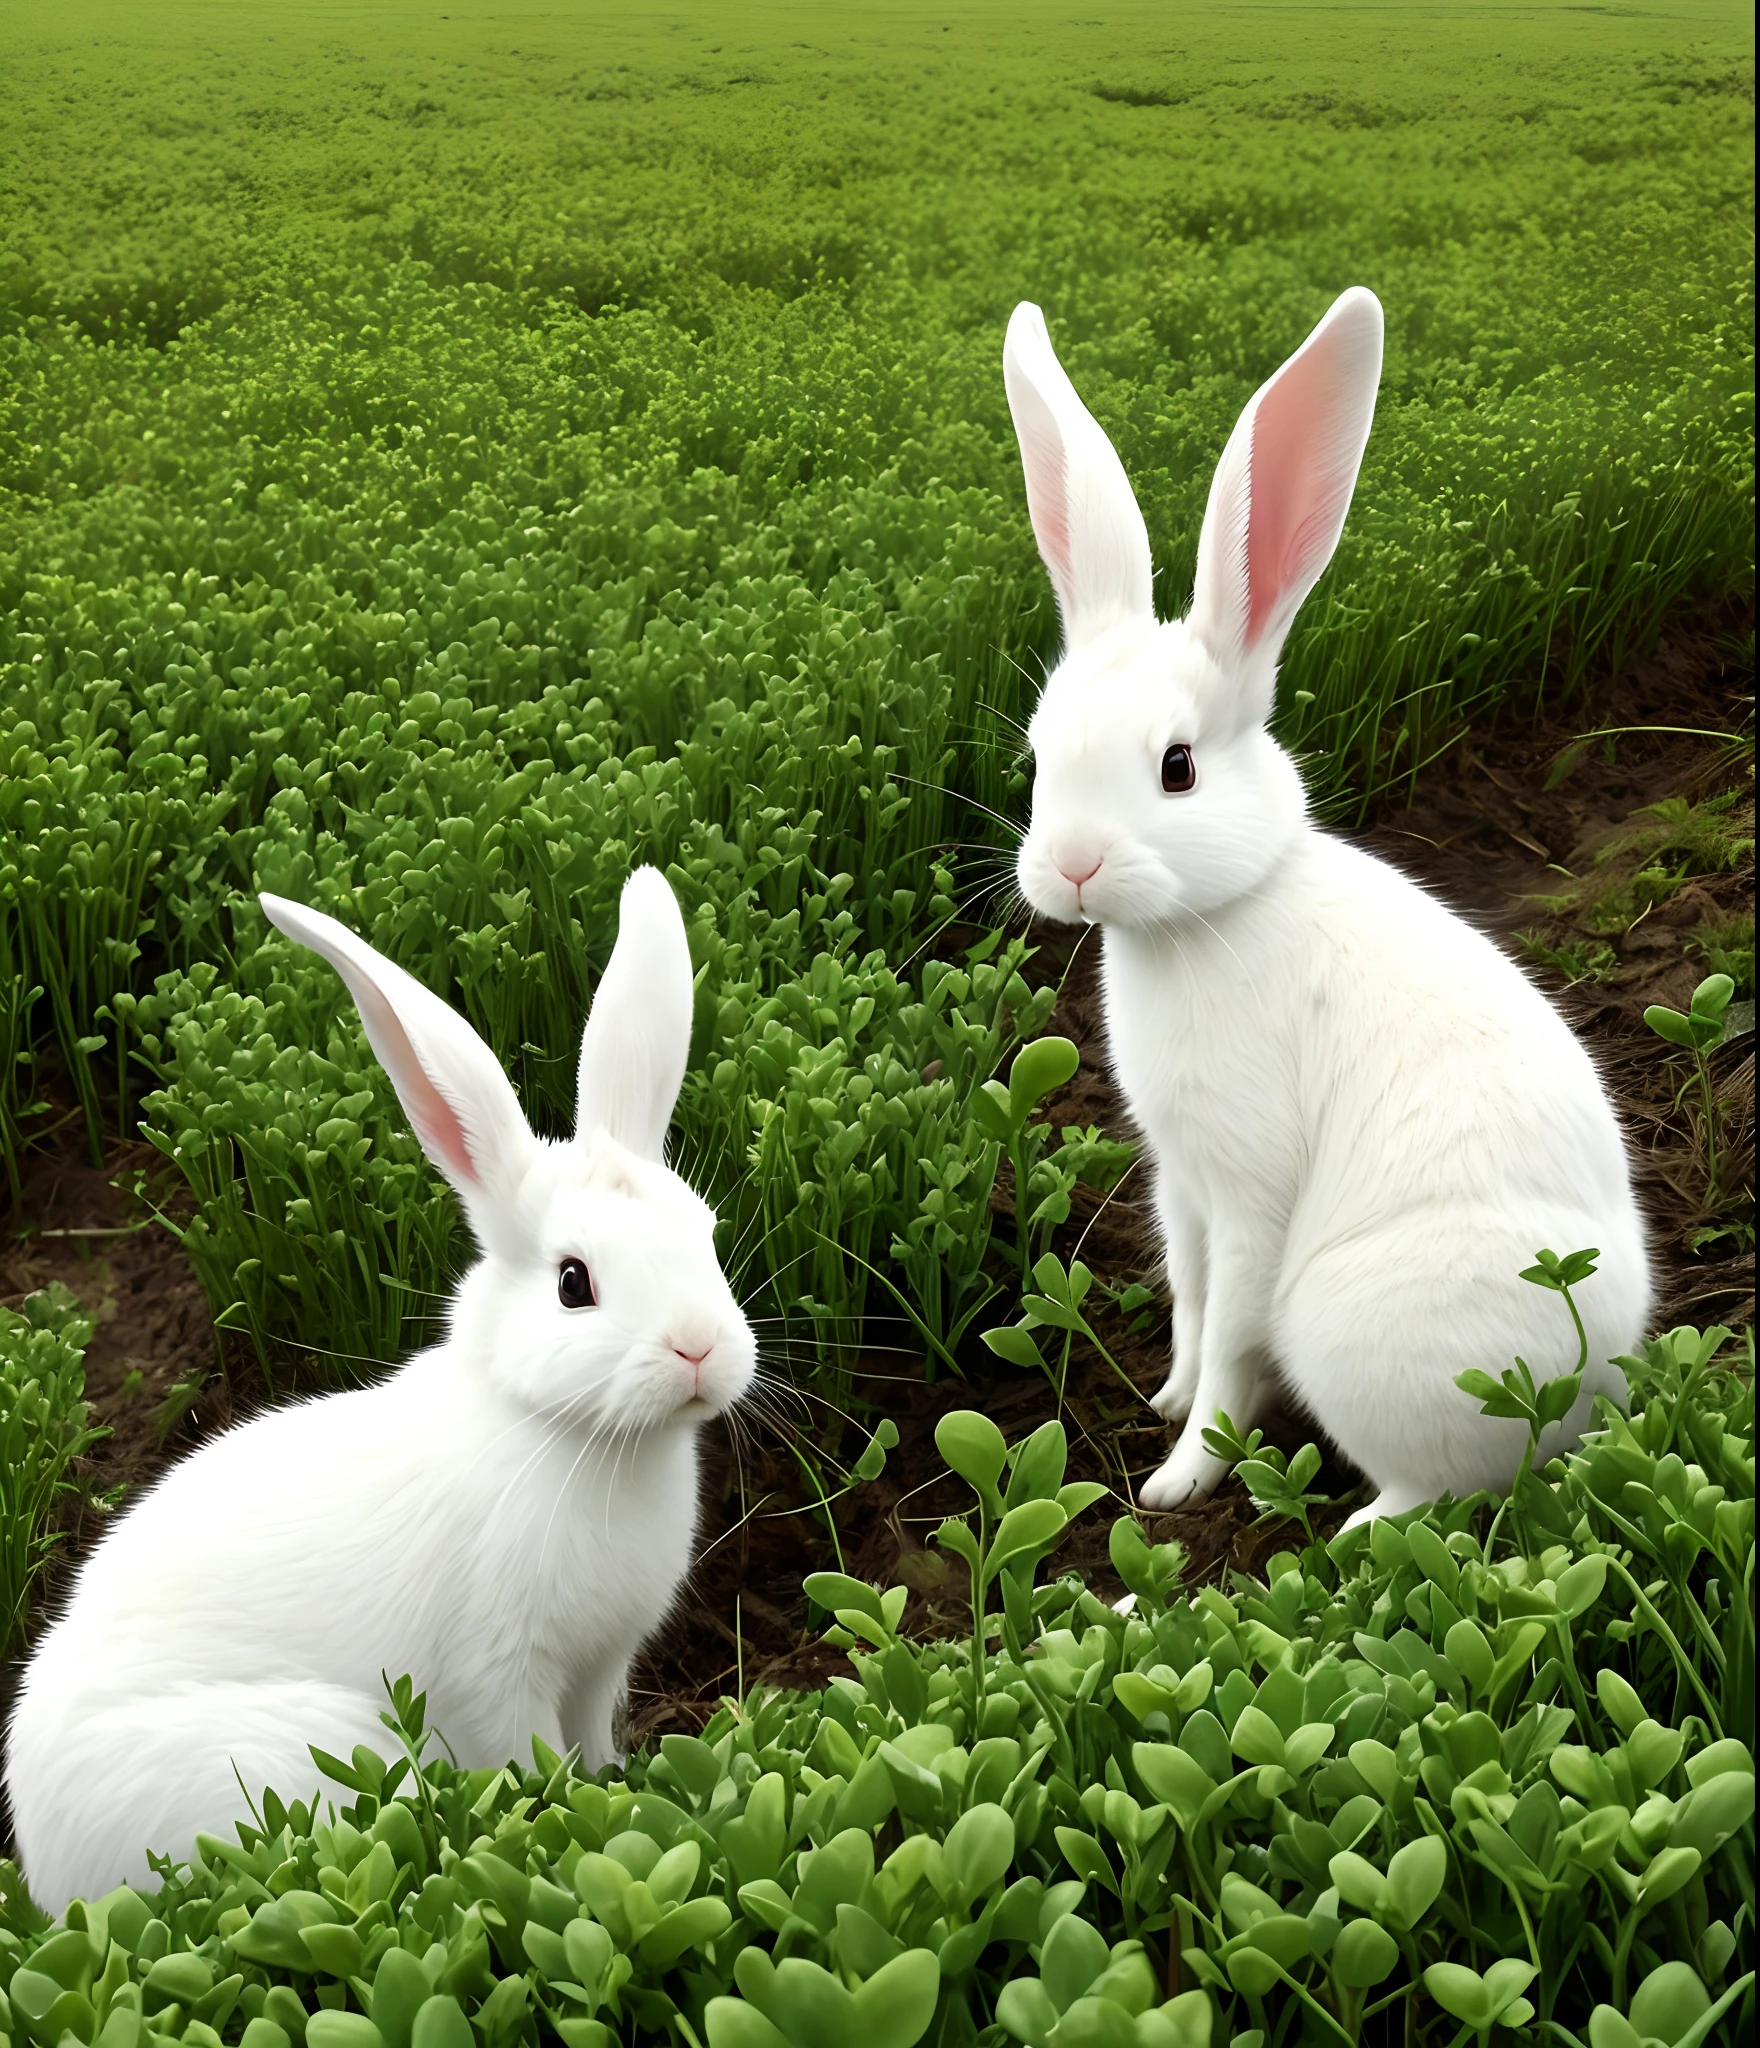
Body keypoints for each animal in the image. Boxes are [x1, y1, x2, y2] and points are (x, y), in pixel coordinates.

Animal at [5, 868, 758, 1916]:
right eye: (574, 1283)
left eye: (708, 1234)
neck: (557, 1427)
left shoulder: (599, 1669)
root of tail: (46, 1862)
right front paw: (567, 1811)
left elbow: (593, 1744)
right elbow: (532, 1758)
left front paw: (616, 1785)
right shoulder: (498, 1672)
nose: (700, 1349)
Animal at [1003, 296, 1655, 1531]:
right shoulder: (1182, 1185)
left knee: (1433, 1488)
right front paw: (1165, 1401)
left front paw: (1180, 1475)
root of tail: (1596, 1385)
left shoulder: (1251, 1188)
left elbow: (1231, 1333)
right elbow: (1191, 1304)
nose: (1069, 868)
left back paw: (1352, 1532)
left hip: (1355, 1328)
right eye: (1034, 754)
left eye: (1176, 768)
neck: (1204, 922)